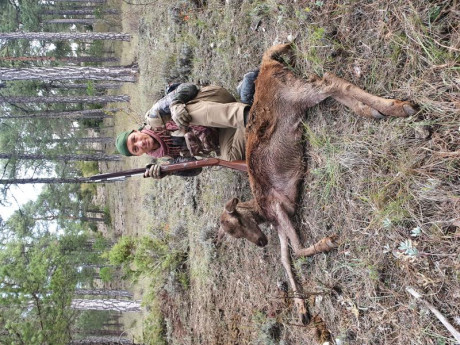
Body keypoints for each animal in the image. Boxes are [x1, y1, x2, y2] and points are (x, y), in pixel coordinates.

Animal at [217, 44, 416, 324]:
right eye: (233, 234)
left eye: (238, 223)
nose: (261, 242)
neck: (260, 211)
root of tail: (266, 65)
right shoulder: (279, 223)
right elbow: (285, 259)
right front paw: (301, 310)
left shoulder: (277, 207)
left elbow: (297, 250)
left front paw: (329, 242)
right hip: (298, 91)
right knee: (329, 85)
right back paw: (373, 110)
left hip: (294, 93)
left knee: (328, 80)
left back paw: (398, 107)